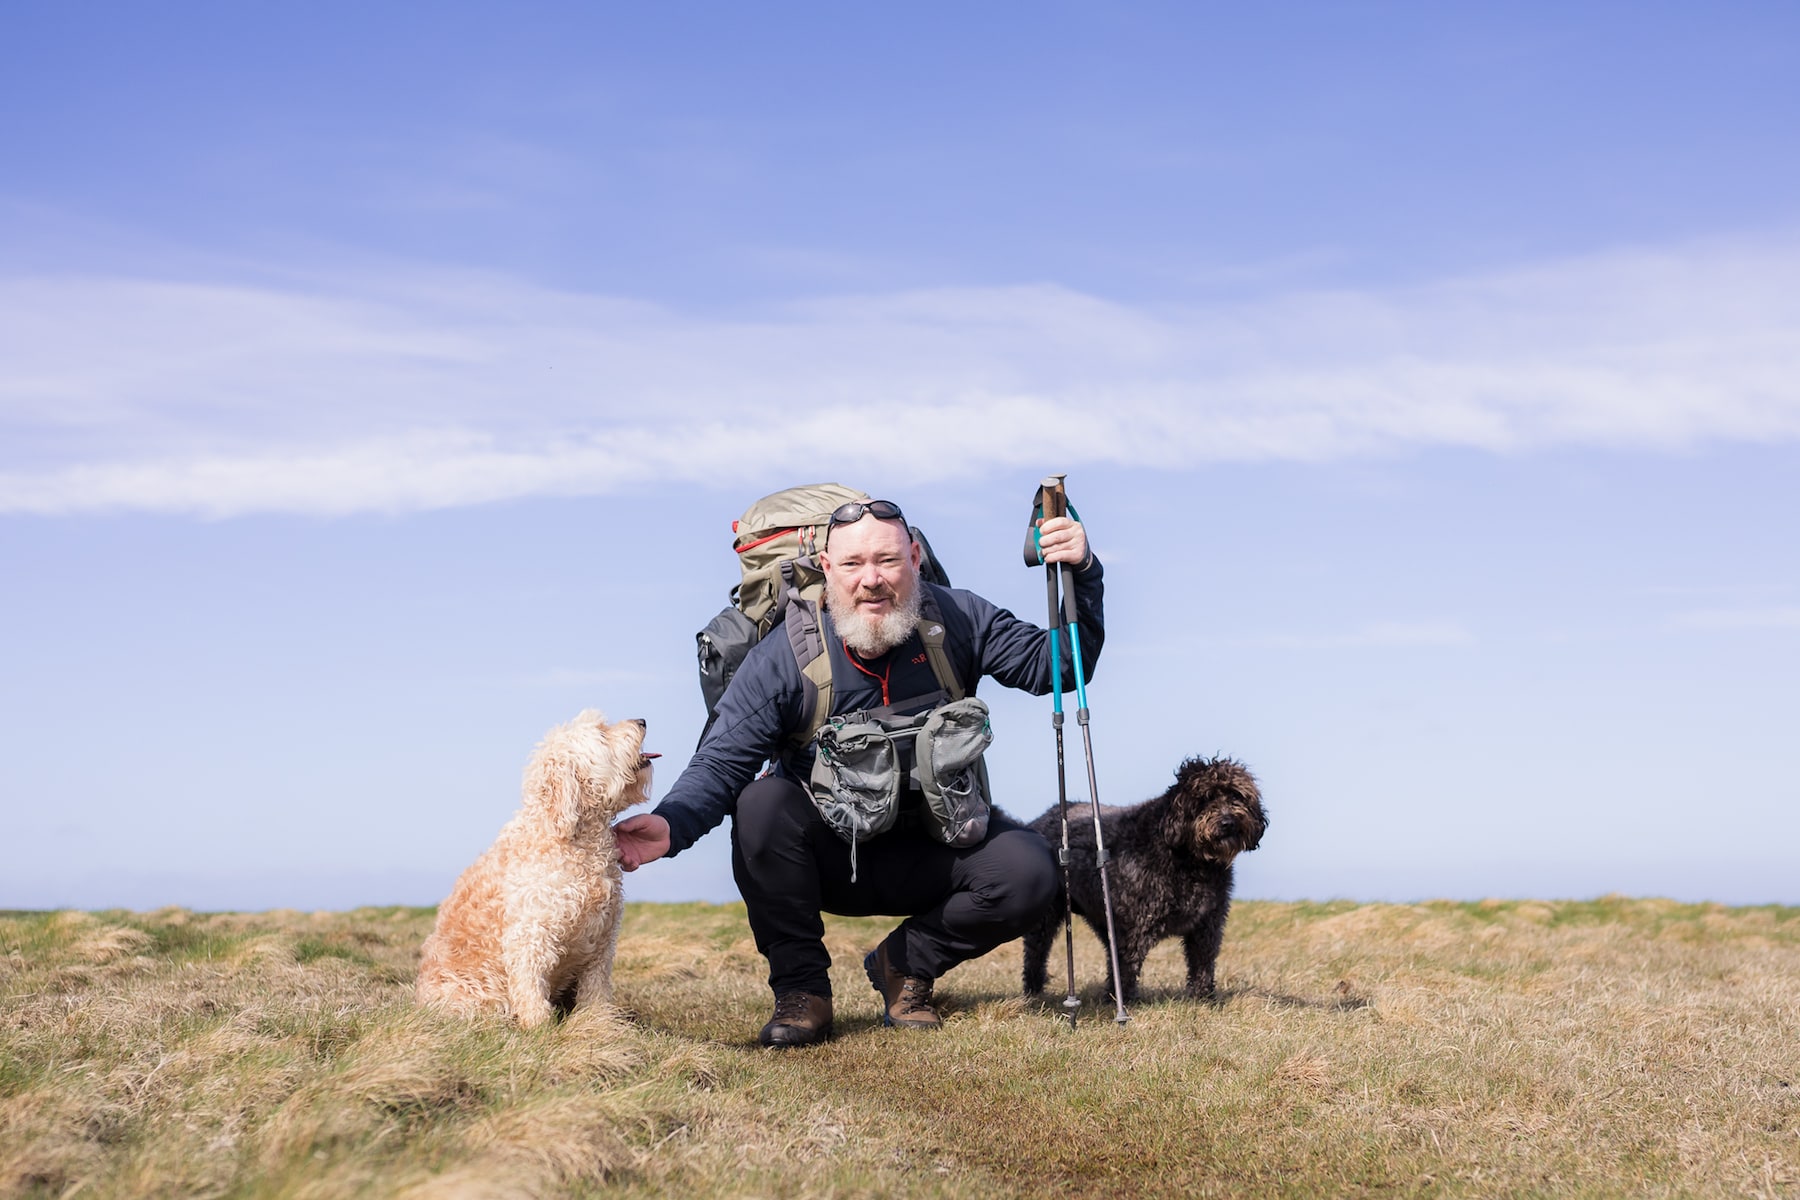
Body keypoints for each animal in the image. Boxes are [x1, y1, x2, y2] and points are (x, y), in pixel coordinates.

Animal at [417, 708, 658, 1029]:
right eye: (601, 733)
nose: (642, 721)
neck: (574, 839)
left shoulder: (602, 942)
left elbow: (595, 989)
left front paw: (598, 1023)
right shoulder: (531, 936)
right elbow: (530, 986)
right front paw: (539, 1026)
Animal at [1029, 759, 1267, 1007]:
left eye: (1236, 796)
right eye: (1204, 799)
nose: (1228, 822)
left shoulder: (1207, 924)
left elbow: (1202, 963)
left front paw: (1204, 999)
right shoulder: (1136, 926)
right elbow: (1127, 966)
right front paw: (1121, 1002)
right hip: (1047, 916)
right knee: (1036, 952)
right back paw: (1034, 990)